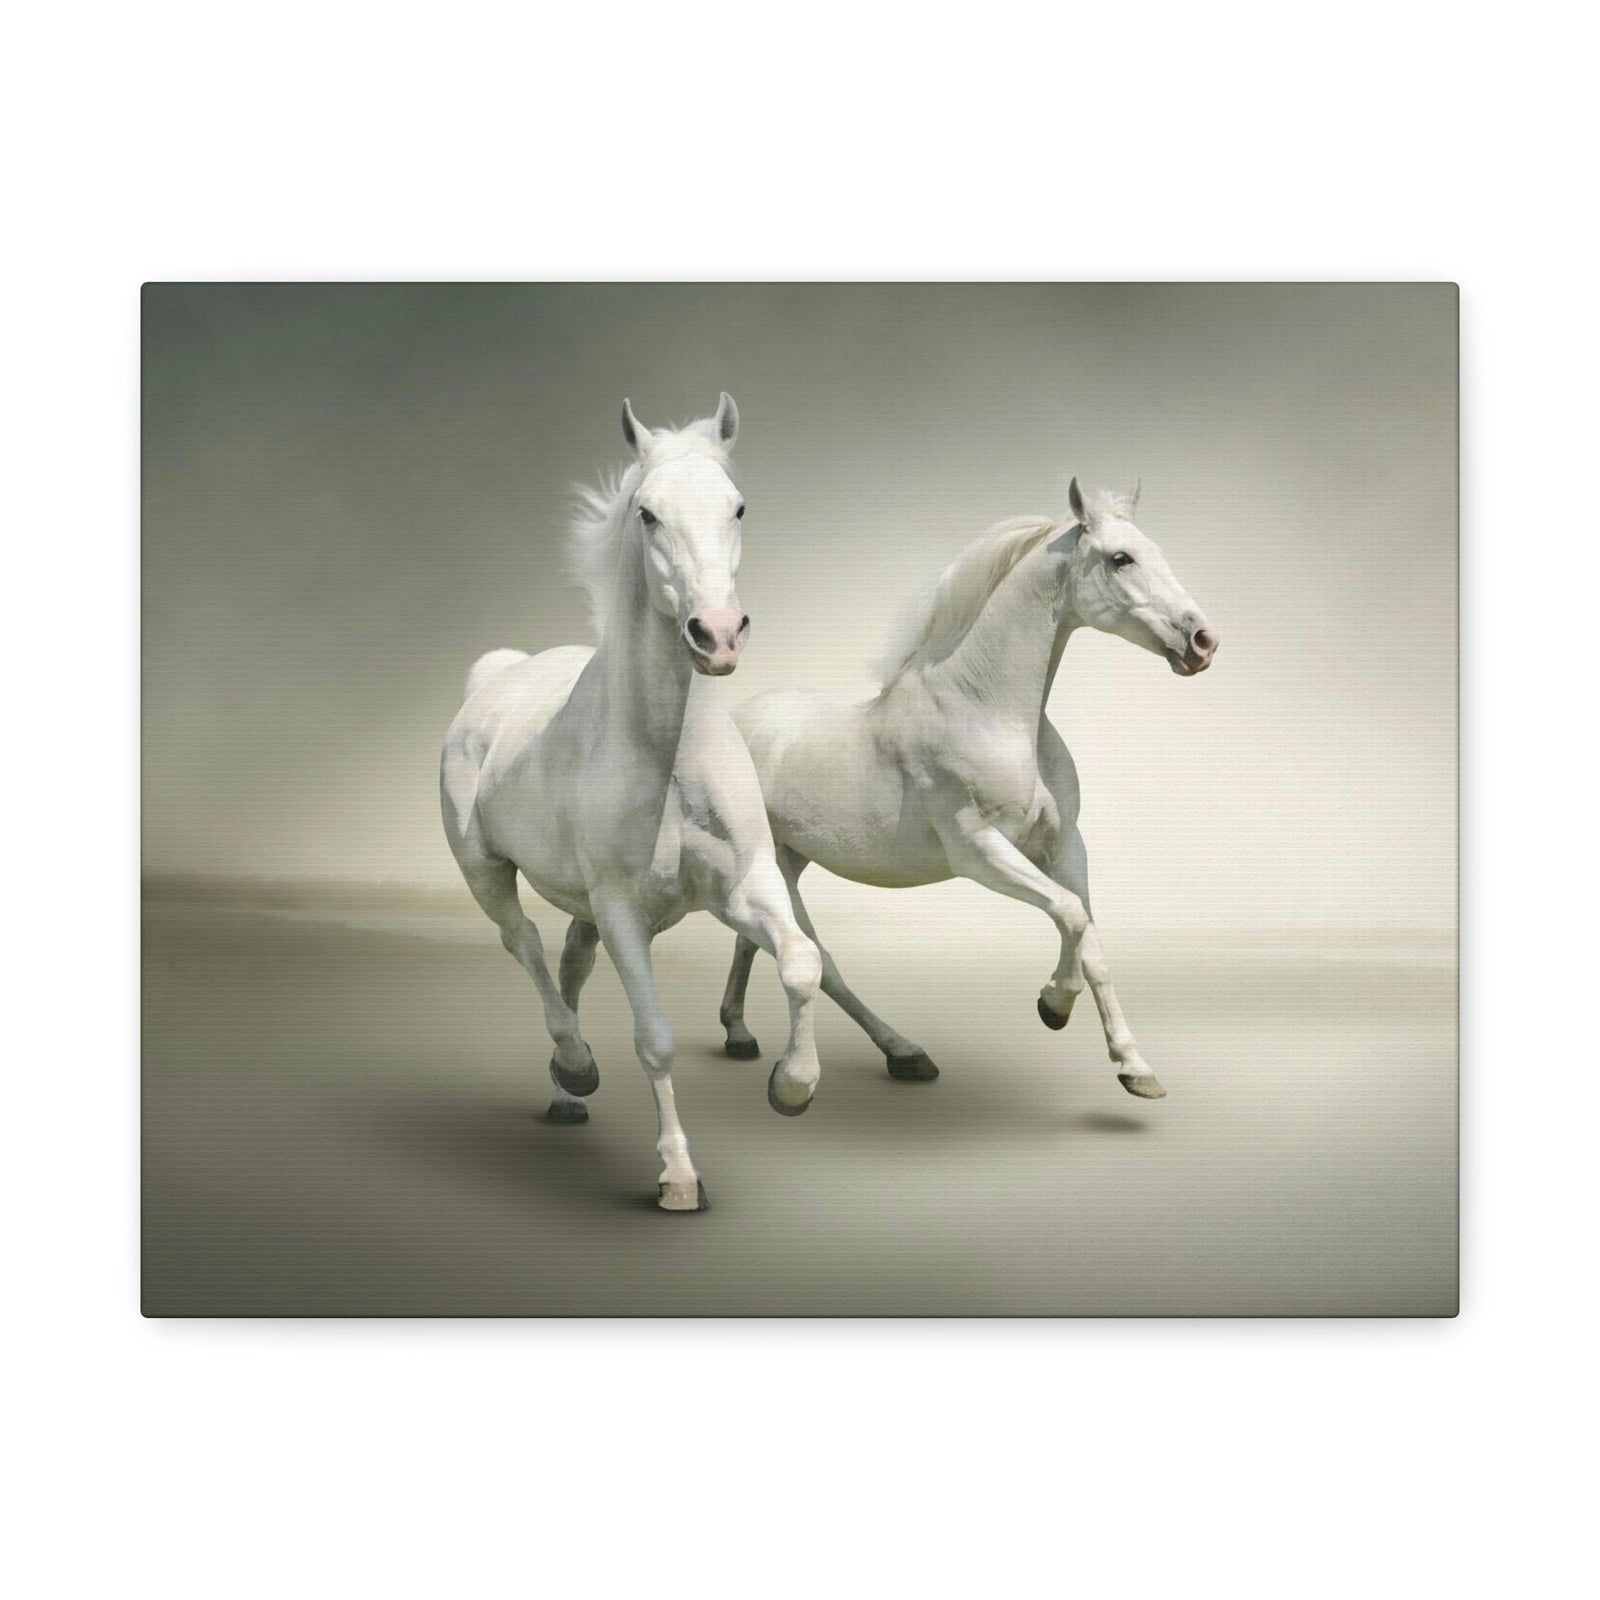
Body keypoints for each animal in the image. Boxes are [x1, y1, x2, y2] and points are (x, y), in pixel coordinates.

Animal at [440, 395, 824, 1211]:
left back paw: (566, 1092)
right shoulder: (623, 912)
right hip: (485, 872)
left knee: (569, 960)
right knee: (523, 943)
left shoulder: (745, 886)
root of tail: (496, 677)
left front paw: (791, 1085)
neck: (666, 756)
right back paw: (575, 1064)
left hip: (581, 904)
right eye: (648, 514)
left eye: (738, 506)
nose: (717, 634)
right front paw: (678, 1177)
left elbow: (802, 962)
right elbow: (656, 1039)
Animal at [716, 478, 1217, 1102]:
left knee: (754, 941)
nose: (1202, 641)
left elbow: (1092, 941)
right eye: (1121, 558)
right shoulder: (978, 851)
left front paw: (1134, 1067)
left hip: (789, 859)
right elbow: (1071, 915)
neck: (987, 712)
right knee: (815, 958)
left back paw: (741, 1035)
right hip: (773, 865)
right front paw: (1053, 1005)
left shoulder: (1064, 846)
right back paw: (895, 1054)